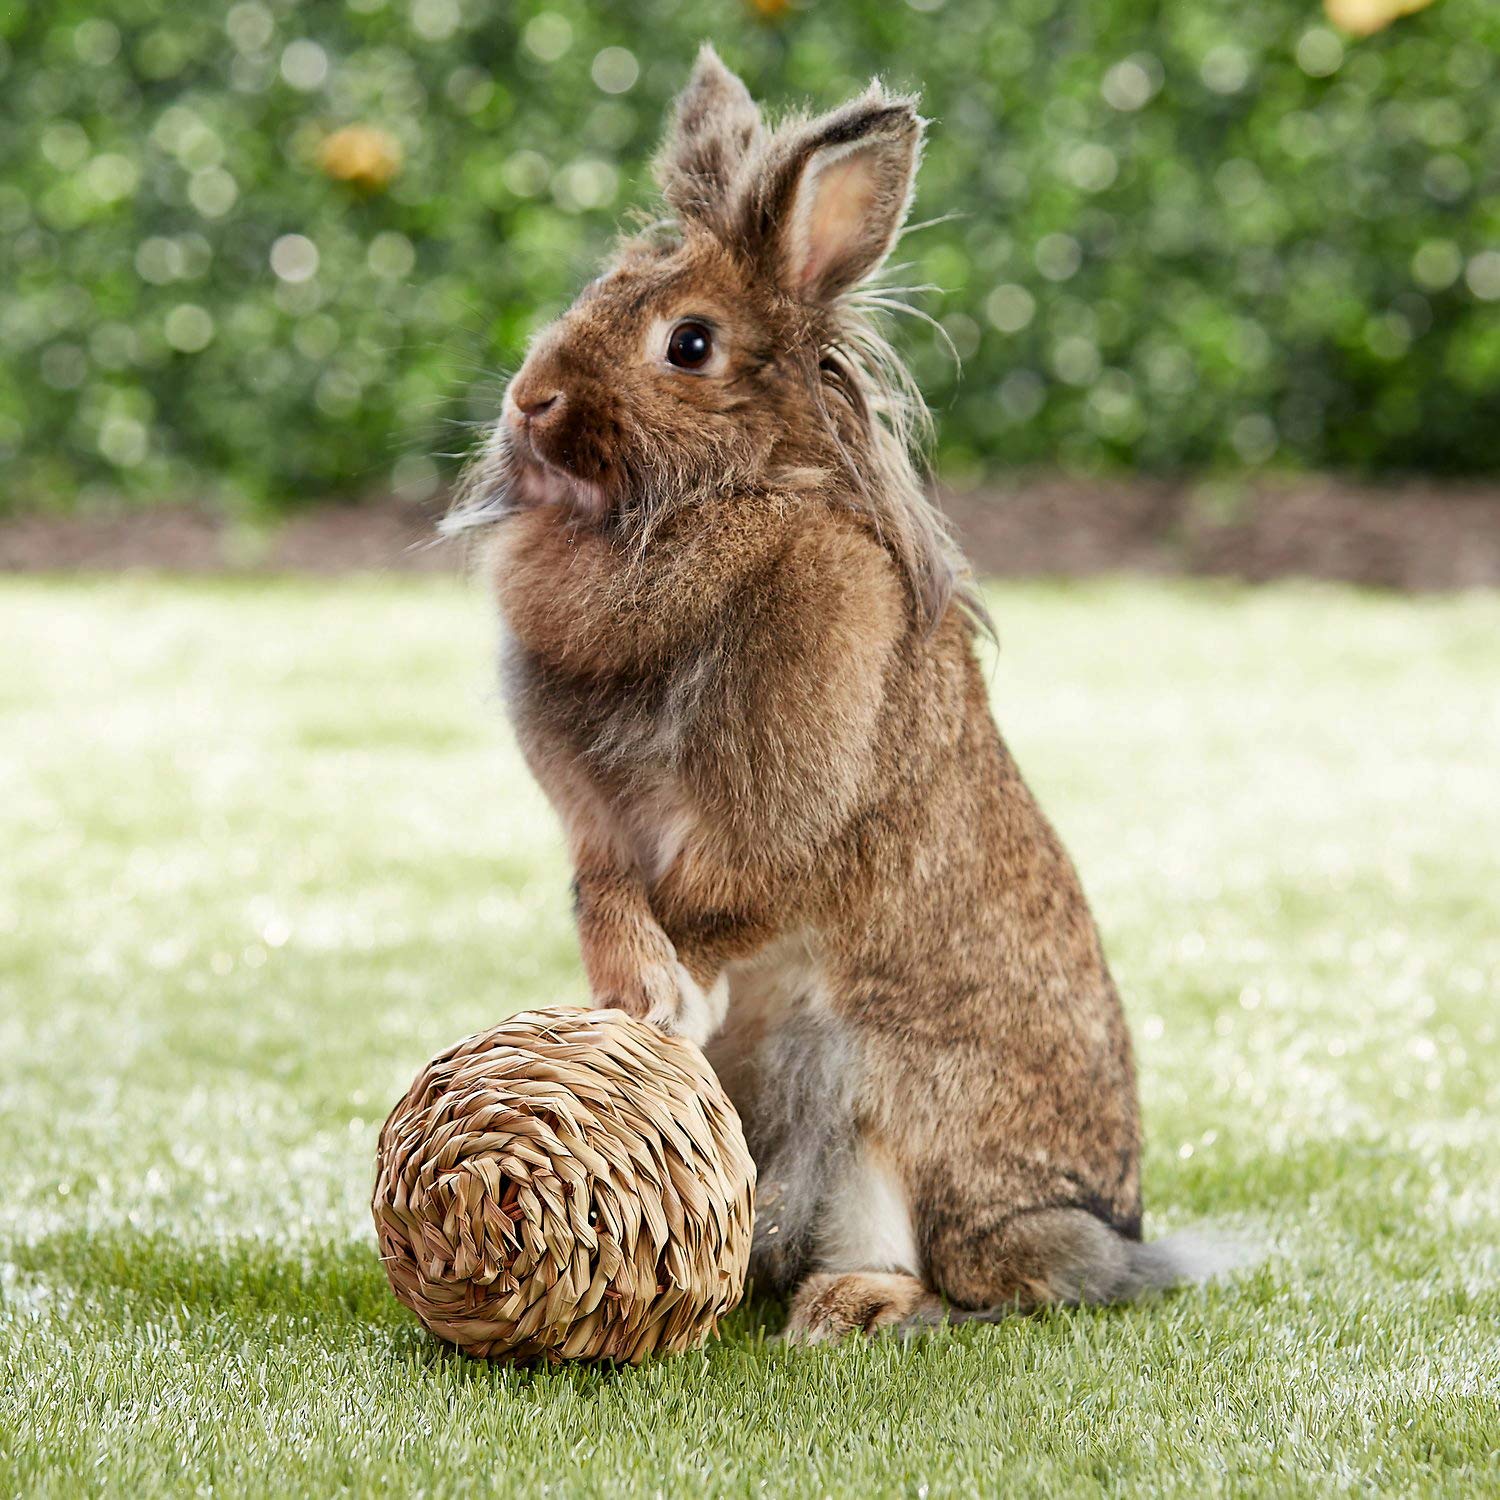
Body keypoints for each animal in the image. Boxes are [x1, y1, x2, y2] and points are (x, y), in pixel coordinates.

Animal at [448, 46, 1240, 1342]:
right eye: (599, 288)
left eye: (690, 344)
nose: (530, 399)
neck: (719, 506)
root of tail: (1086, 1238)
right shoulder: (597, 832)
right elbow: (604, 896)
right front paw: (631, 1002)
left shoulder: (784, 813)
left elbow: (719, 903)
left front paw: (667, 1000)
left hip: (881, 1096)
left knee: (925, 1268)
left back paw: (846, 1310)